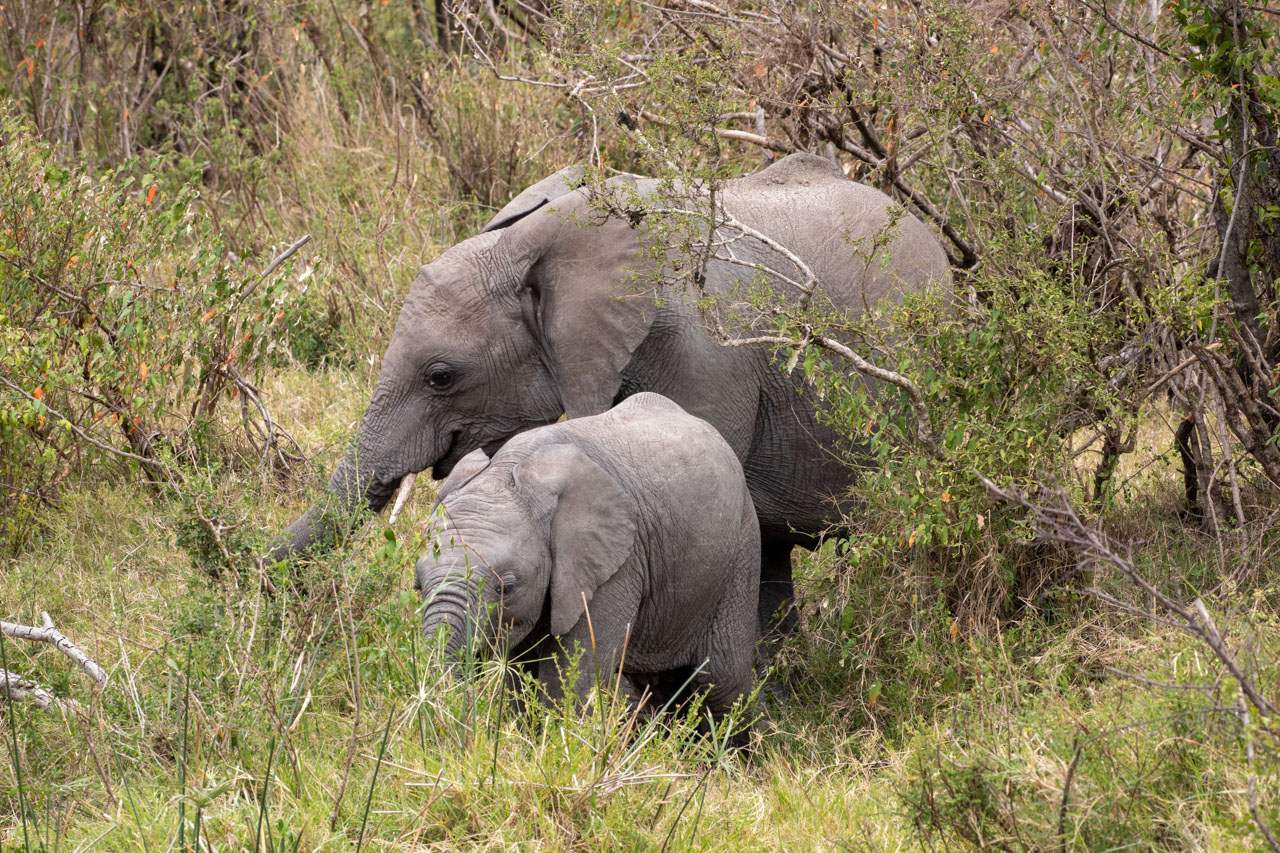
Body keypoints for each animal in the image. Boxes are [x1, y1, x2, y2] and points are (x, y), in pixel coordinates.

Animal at [414, 389, 757, 722]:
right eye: (417, 587)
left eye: (506, 588)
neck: (506, 470)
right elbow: (519, 675)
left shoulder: (618, 566)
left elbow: (571, 679)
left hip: (741, 545)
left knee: (723, 683)